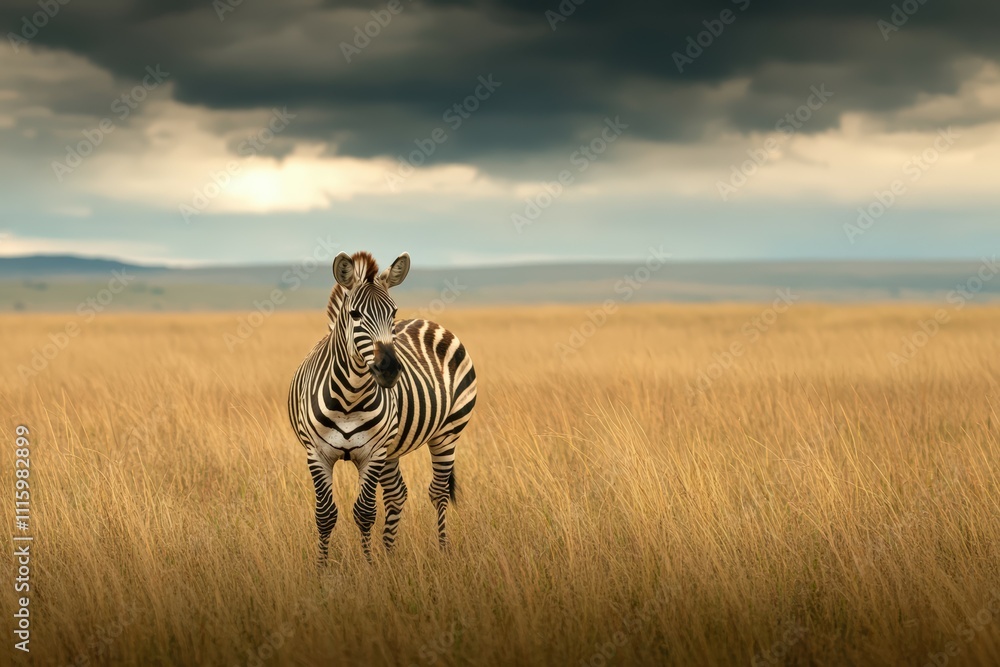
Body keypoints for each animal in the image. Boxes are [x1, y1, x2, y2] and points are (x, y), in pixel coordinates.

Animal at [288, 250, 477, 562]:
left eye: (393, 313)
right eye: (355, 314)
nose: (388, 369)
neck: (349, 398)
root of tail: (429, 322)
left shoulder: (373, 453)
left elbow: (364, 513)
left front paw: (368, 565)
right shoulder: (317, 453)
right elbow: (325, 515)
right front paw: (322, 567)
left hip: (447, 432)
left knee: (437, 492)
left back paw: (441, 551)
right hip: (393, 449)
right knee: (397, 494)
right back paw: (390, 553)